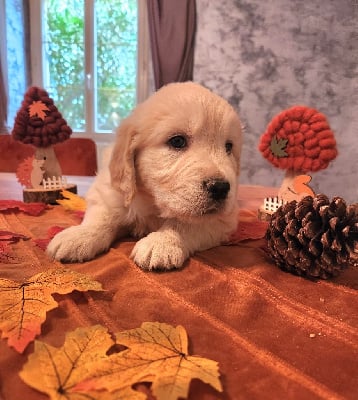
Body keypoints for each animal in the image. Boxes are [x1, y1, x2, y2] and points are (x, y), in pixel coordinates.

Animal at [46, 81, 243, 270]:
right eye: (177, 141)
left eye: (228, 147)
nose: (221, 188)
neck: (151, 202)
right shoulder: (109, 192)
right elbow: (102, 215)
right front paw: (80, 235)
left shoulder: (224, 218)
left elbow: (186, 223)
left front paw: (162, 242)